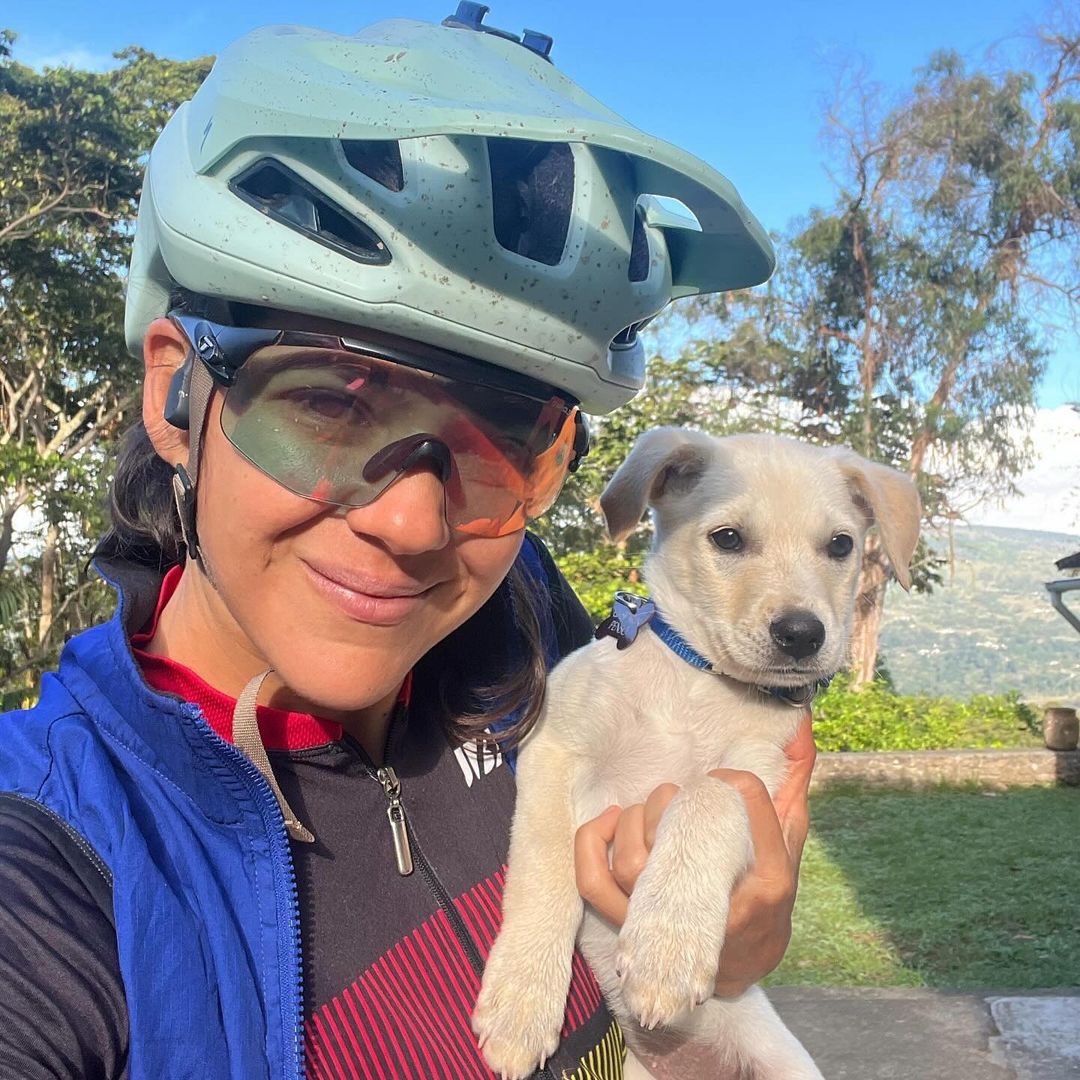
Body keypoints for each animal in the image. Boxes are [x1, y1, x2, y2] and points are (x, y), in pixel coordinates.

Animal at [473, 429, 920, 1080]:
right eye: (727, 538)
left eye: (840, 545)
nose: (802, 635)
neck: (698, 681)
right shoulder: (554, 748)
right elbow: (544, 864)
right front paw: (521, 1002)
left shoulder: (759, 772)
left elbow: (706, 794)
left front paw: (666, 947)